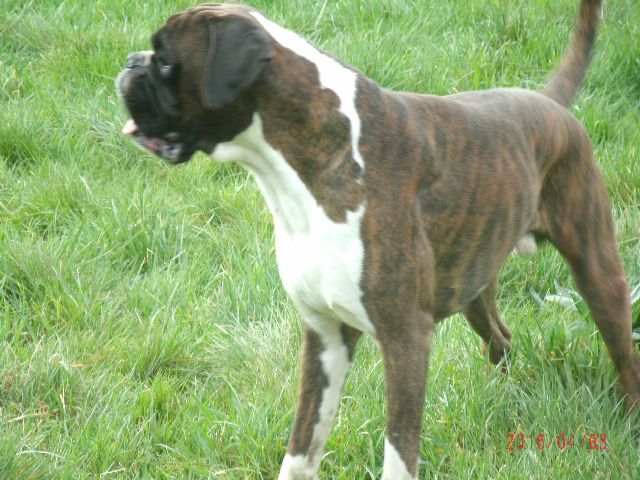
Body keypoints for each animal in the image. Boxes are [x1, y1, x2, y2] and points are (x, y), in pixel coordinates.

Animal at [117, 1, 640, 478]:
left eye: (167, 61)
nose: (130, 62)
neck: (316, 157)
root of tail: (546, 102)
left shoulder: (406, 339)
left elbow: (398, 451)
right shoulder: (324, 336)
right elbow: (301, 449)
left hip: (598, 272)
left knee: (624, 358)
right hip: (474, 285)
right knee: (501, 338)